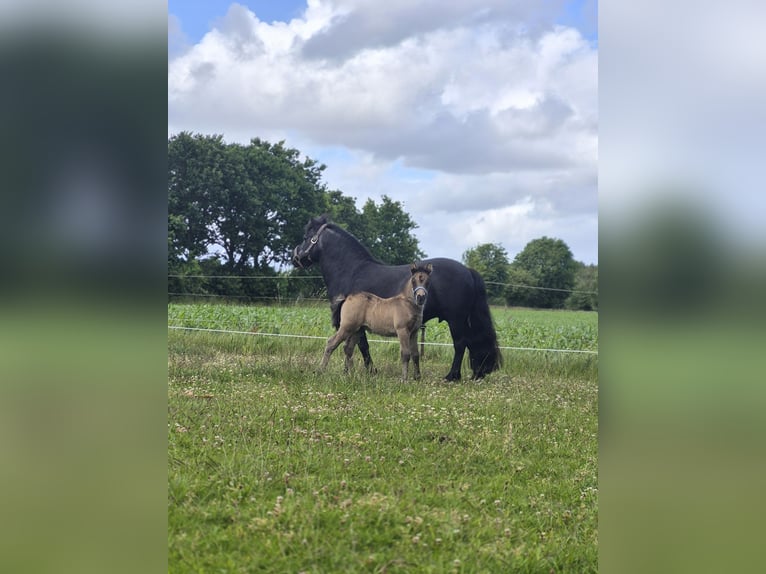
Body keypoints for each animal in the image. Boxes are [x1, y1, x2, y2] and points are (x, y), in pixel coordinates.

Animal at [293, 215, 501, 380]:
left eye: (306, 237)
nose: (295, 258)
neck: (351, 270)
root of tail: (468, 270)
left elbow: (362, 346)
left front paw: (371, 371)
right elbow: (355, 346)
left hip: (456, 320)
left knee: (460, 344)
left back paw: (452, 376)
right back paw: (476, 373)